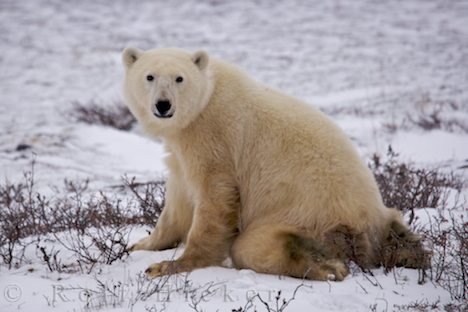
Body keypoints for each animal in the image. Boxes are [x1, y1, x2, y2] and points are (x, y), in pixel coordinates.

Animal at [122, 47, 430, 282]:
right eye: (149, 76)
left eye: (179, 78)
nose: (163, 105)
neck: (206, 99)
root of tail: (369, 228)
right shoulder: (182, 147)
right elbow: (177, 202)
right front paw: (140, 245)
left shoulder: (214, 138)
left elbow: (214, 199)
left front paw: (168, 266)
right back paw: (409, 251)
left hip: (308, 216)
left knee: (254, 246)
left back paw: (327, 267)